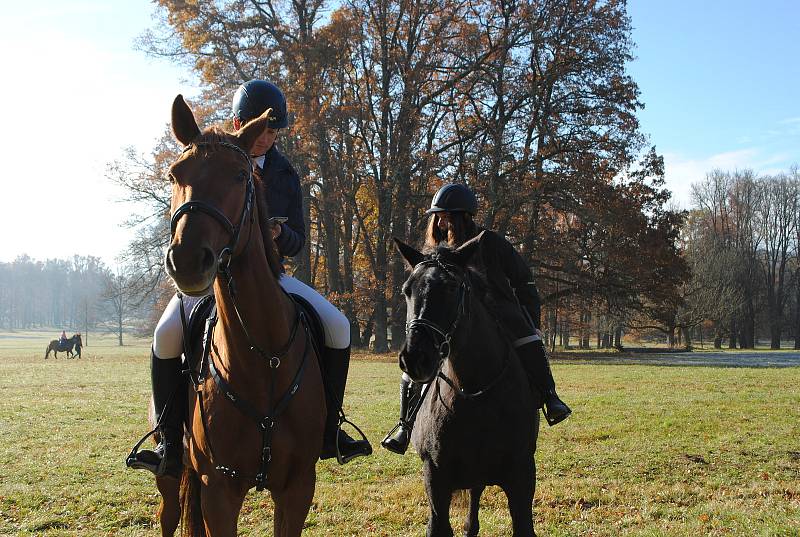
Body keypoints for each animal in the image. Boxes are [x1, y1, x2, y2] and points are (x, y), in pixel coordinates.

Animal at [156, 96, 324, 536]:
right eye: (174, 174)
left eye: (238, 176)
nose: (187, 261)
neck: (262, 358)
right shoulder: (219, 489)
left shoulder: (298, 487)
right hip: (171, 475)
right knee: (167, 515)